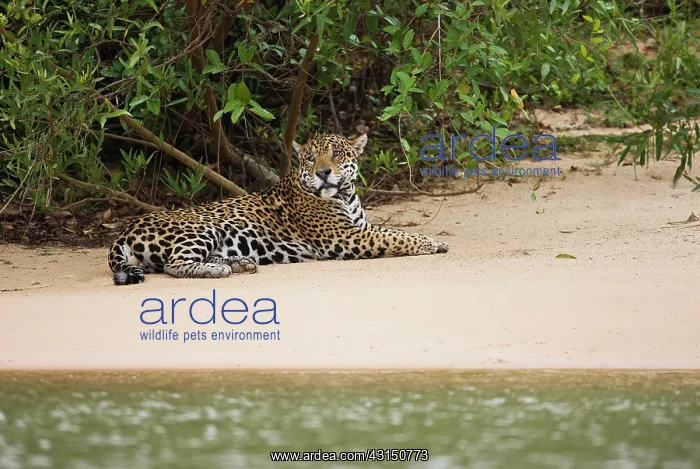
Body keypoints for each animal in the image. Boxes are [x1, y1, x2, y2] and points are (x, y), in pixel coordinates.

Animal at [108, 133, 449, 285]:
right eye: (310, 158)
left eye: (337, 154)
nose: (323, 172)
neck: (344, 194)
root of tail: (124, 231)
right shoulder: (344, 238)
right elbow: (395, 237)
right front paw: (430, 244)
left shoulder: (359, 229)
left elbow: (393, 230)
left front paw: (436, 240)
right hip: (201, 227)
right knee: (174, 264)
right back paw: (218, 270)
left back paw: (240, 263)